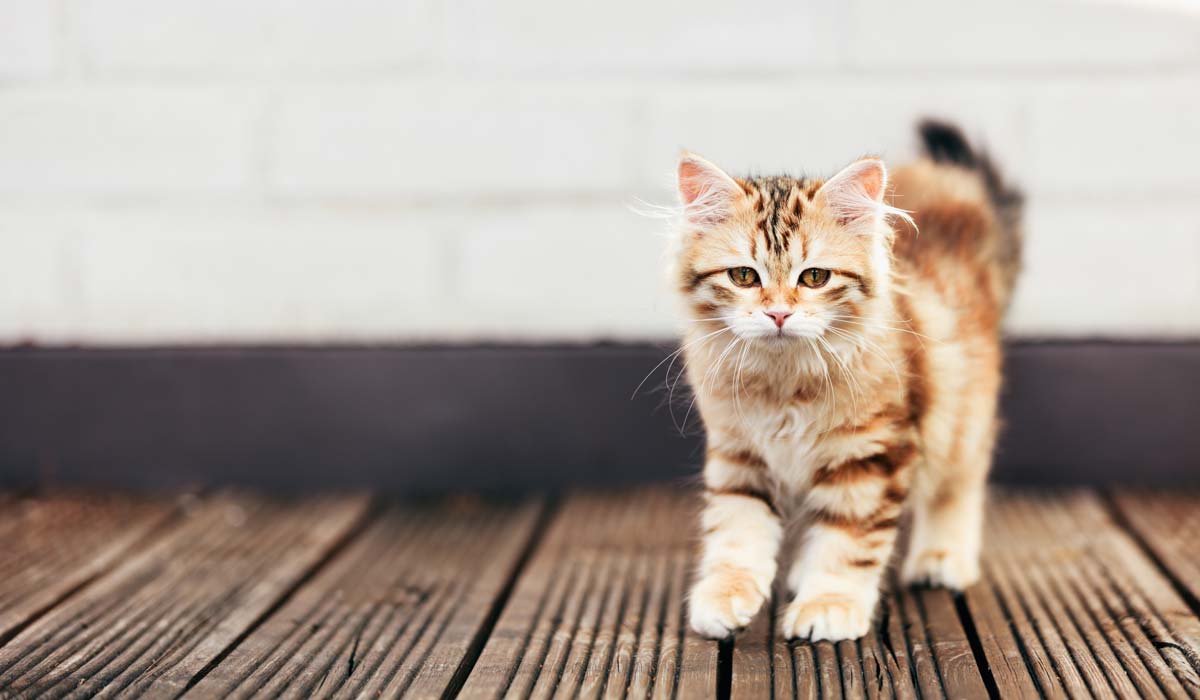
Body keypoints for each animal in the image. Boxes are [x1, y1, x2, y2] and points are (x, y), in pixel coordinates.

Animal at [676, 120, 1022, 638]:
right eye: (744, 276)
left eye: (814, 277)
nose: (778, 314)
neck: (784, 383)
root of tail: (956, 195)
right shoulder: (739, 454)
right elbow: (736, 531)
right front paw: (725, 595)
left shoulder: (870, 456)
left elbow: (848, 541)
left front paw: (828, 605)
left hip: (962, 412)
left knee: (959, 483)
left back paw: (941, 557)